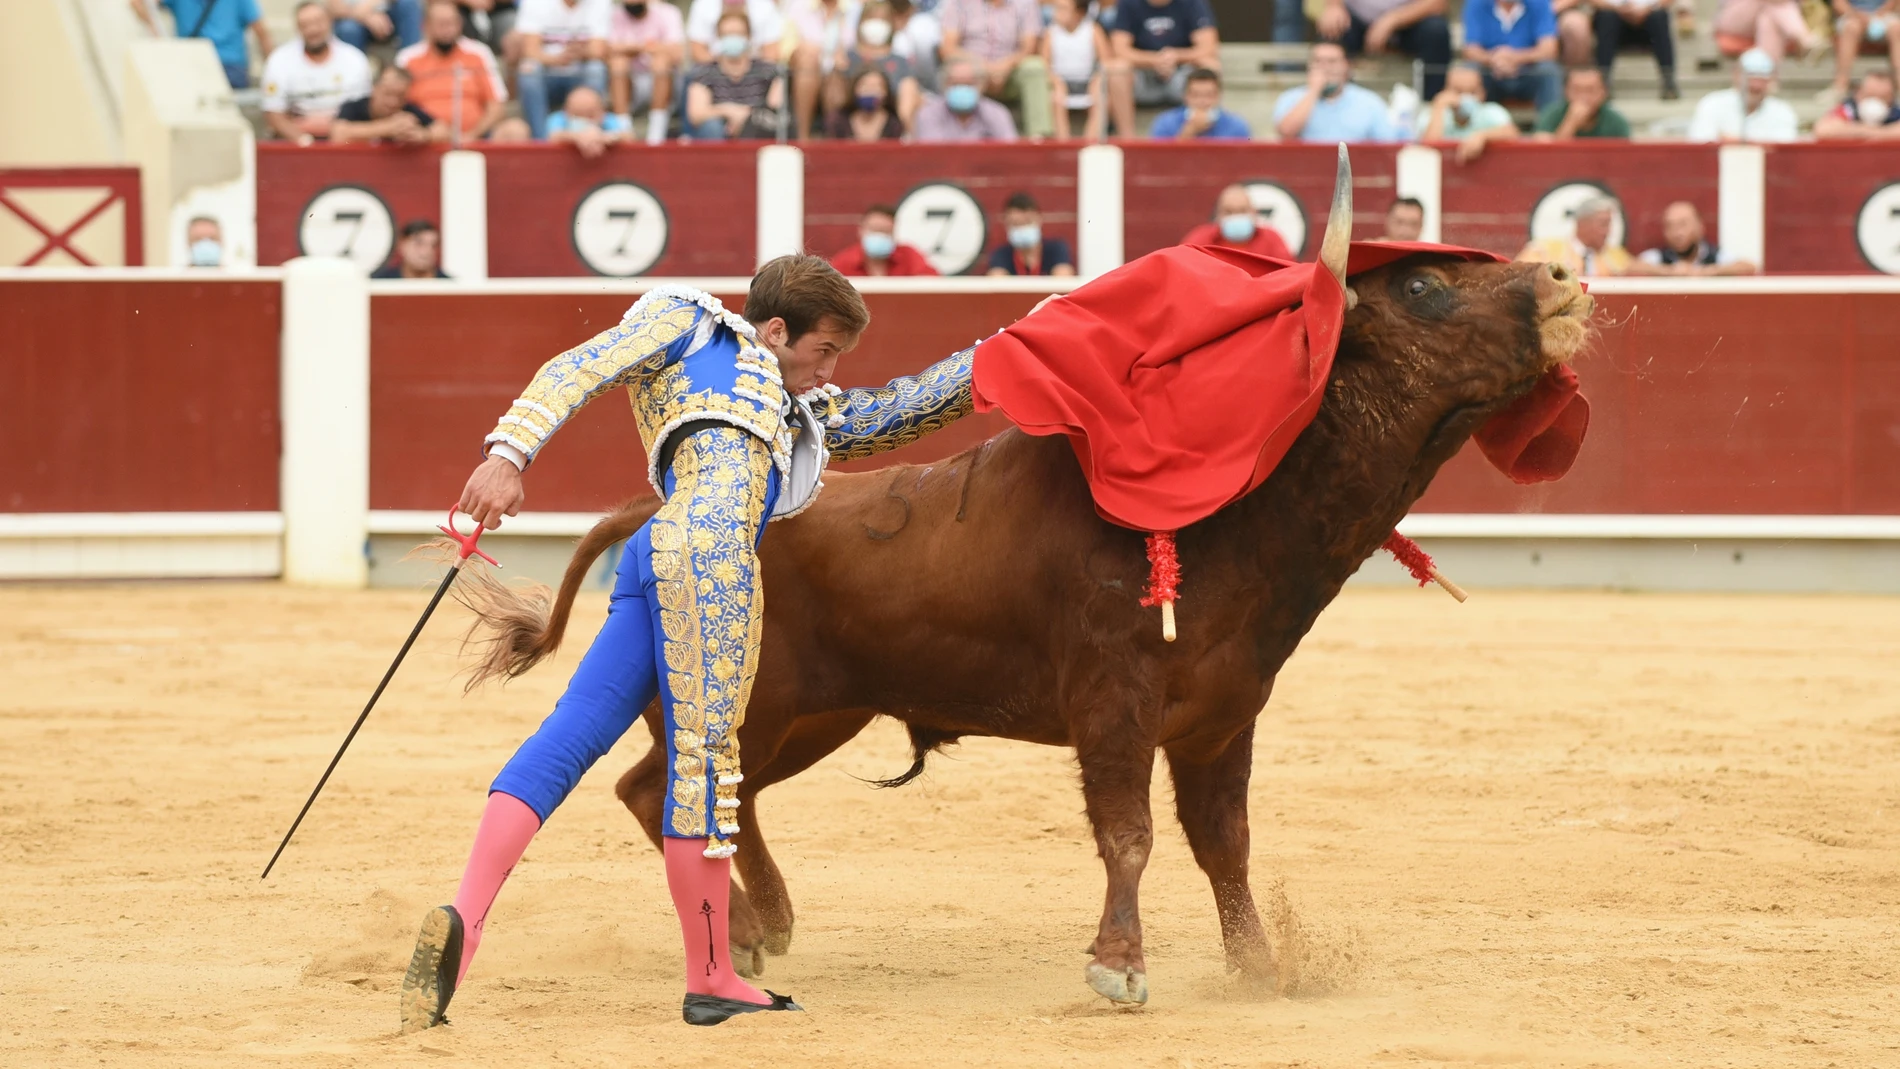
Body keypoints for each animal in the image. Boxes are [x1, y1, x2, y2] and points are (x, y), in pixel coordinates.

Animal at [452, 154, 1596, 1010]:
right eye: (1425, 287)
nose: (1562, 280)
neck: (1239, 513)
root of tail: (650, 508)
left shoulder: (1222, 720)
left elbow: (1223, 845)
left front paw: (1259, 969)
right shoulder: (1114, 703)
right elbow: (1130, 835)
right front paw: (1120, 968)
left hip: (816, 714)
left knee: (706, 792)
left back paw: (765, 923)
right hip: (745, 696)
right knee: (664, 786)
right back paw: (742, 930)